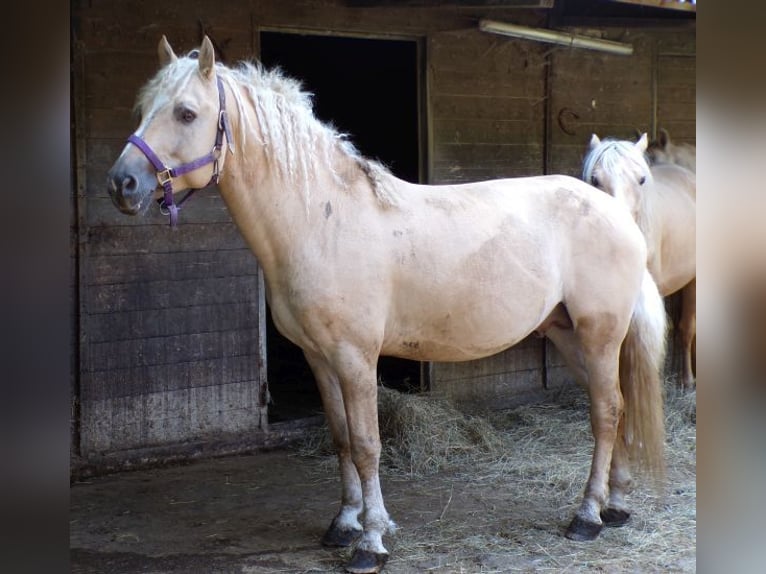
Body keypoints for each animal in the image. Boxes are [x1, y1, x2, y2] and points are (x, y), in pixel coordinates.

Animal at [109, 37, 672, 574]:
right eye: (142, 107)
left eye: (186, 113)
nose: (122, 184)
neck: (322, 220)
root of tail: (613, 208)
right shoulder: (319, 358)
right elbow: (340, 438)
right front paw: (344, 523)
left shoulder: (355, 357)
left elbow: (366, 445)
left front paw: (372, 541)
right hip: (567, 334)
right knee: (617, 406)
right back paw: (616, 505)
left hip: (599, 334)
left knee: (605, 412)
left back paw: (587, 516)